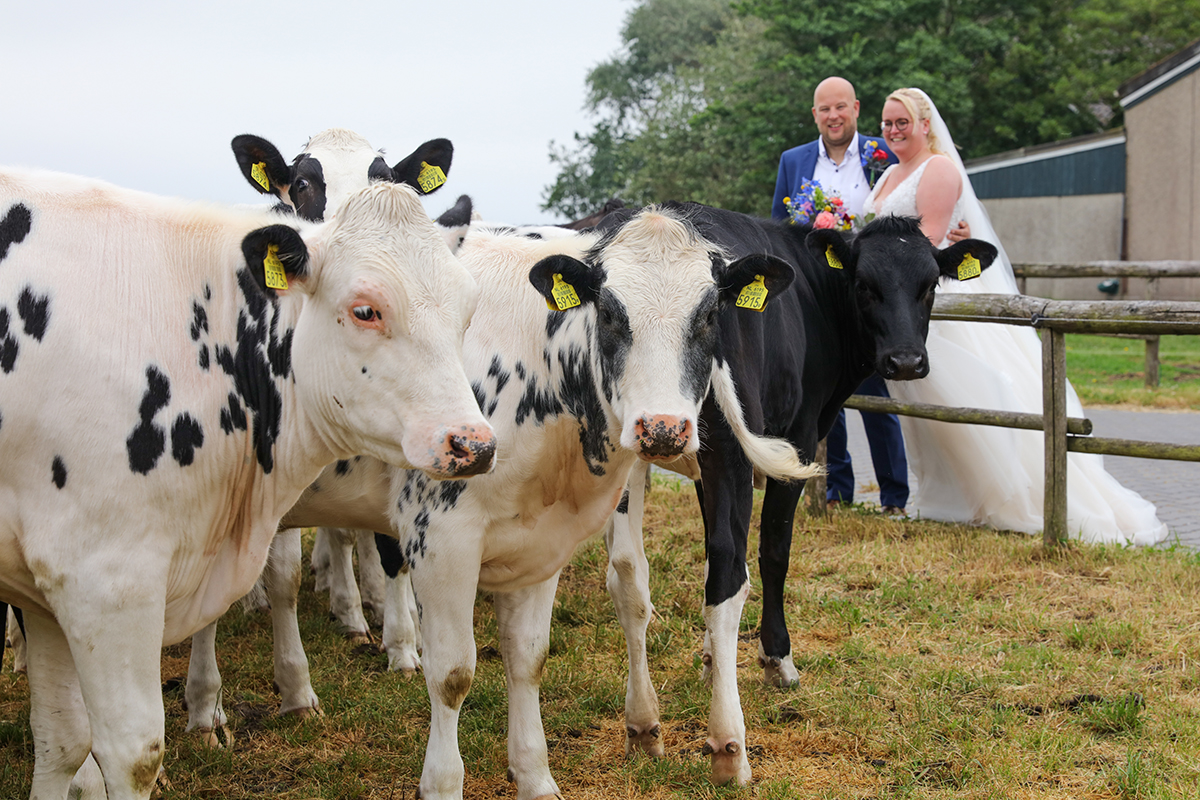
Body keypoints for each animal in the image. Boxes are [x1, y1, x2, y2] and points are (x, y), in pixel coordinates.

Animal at [0, 170, 492, 800]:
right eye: (365, 310)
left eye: (468, 310)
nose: (474, 443)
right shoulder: (104, 580)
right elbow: (131, 754)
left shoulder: (45, 588)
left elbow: (61, 741)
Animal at [592, 203, 1003, 786]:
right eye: (865, 285)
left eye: (929, 286)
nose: (904, 362)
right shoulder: (799, 437)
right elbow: (772, 553)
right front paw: (776, 659)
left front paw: (710, 660)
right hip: (730, 448)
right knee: (730, 569)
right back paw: (730, 746)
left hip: (639, 439)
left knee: (628, 571)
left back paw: (644, 726)